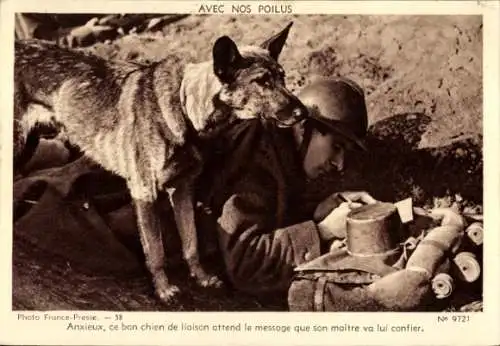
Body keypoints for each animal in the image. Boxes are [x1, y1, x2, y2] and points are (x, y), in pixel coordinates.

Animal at [13, 22, 306, 302]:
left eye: (282, 78)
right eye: (262, 82)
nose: (303, 113)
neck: (185, 105)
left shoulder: (183, 189)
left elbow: (191, 242)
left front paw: (201, 277)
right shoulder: (145, 193)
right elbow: (156, 251)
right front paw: (163, 289)